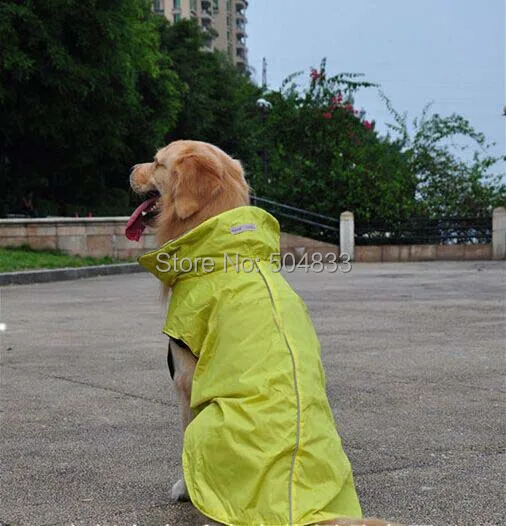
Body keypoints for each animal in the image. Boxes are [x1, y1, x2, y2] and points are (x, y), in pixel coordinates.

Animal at [125, 140, 400, 526]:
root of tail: (305, 510)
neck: (225, 251)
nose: (129, 170)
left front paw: (184, 488)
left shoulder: (185, 378)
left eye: (157, 162)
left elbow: (182, 440)